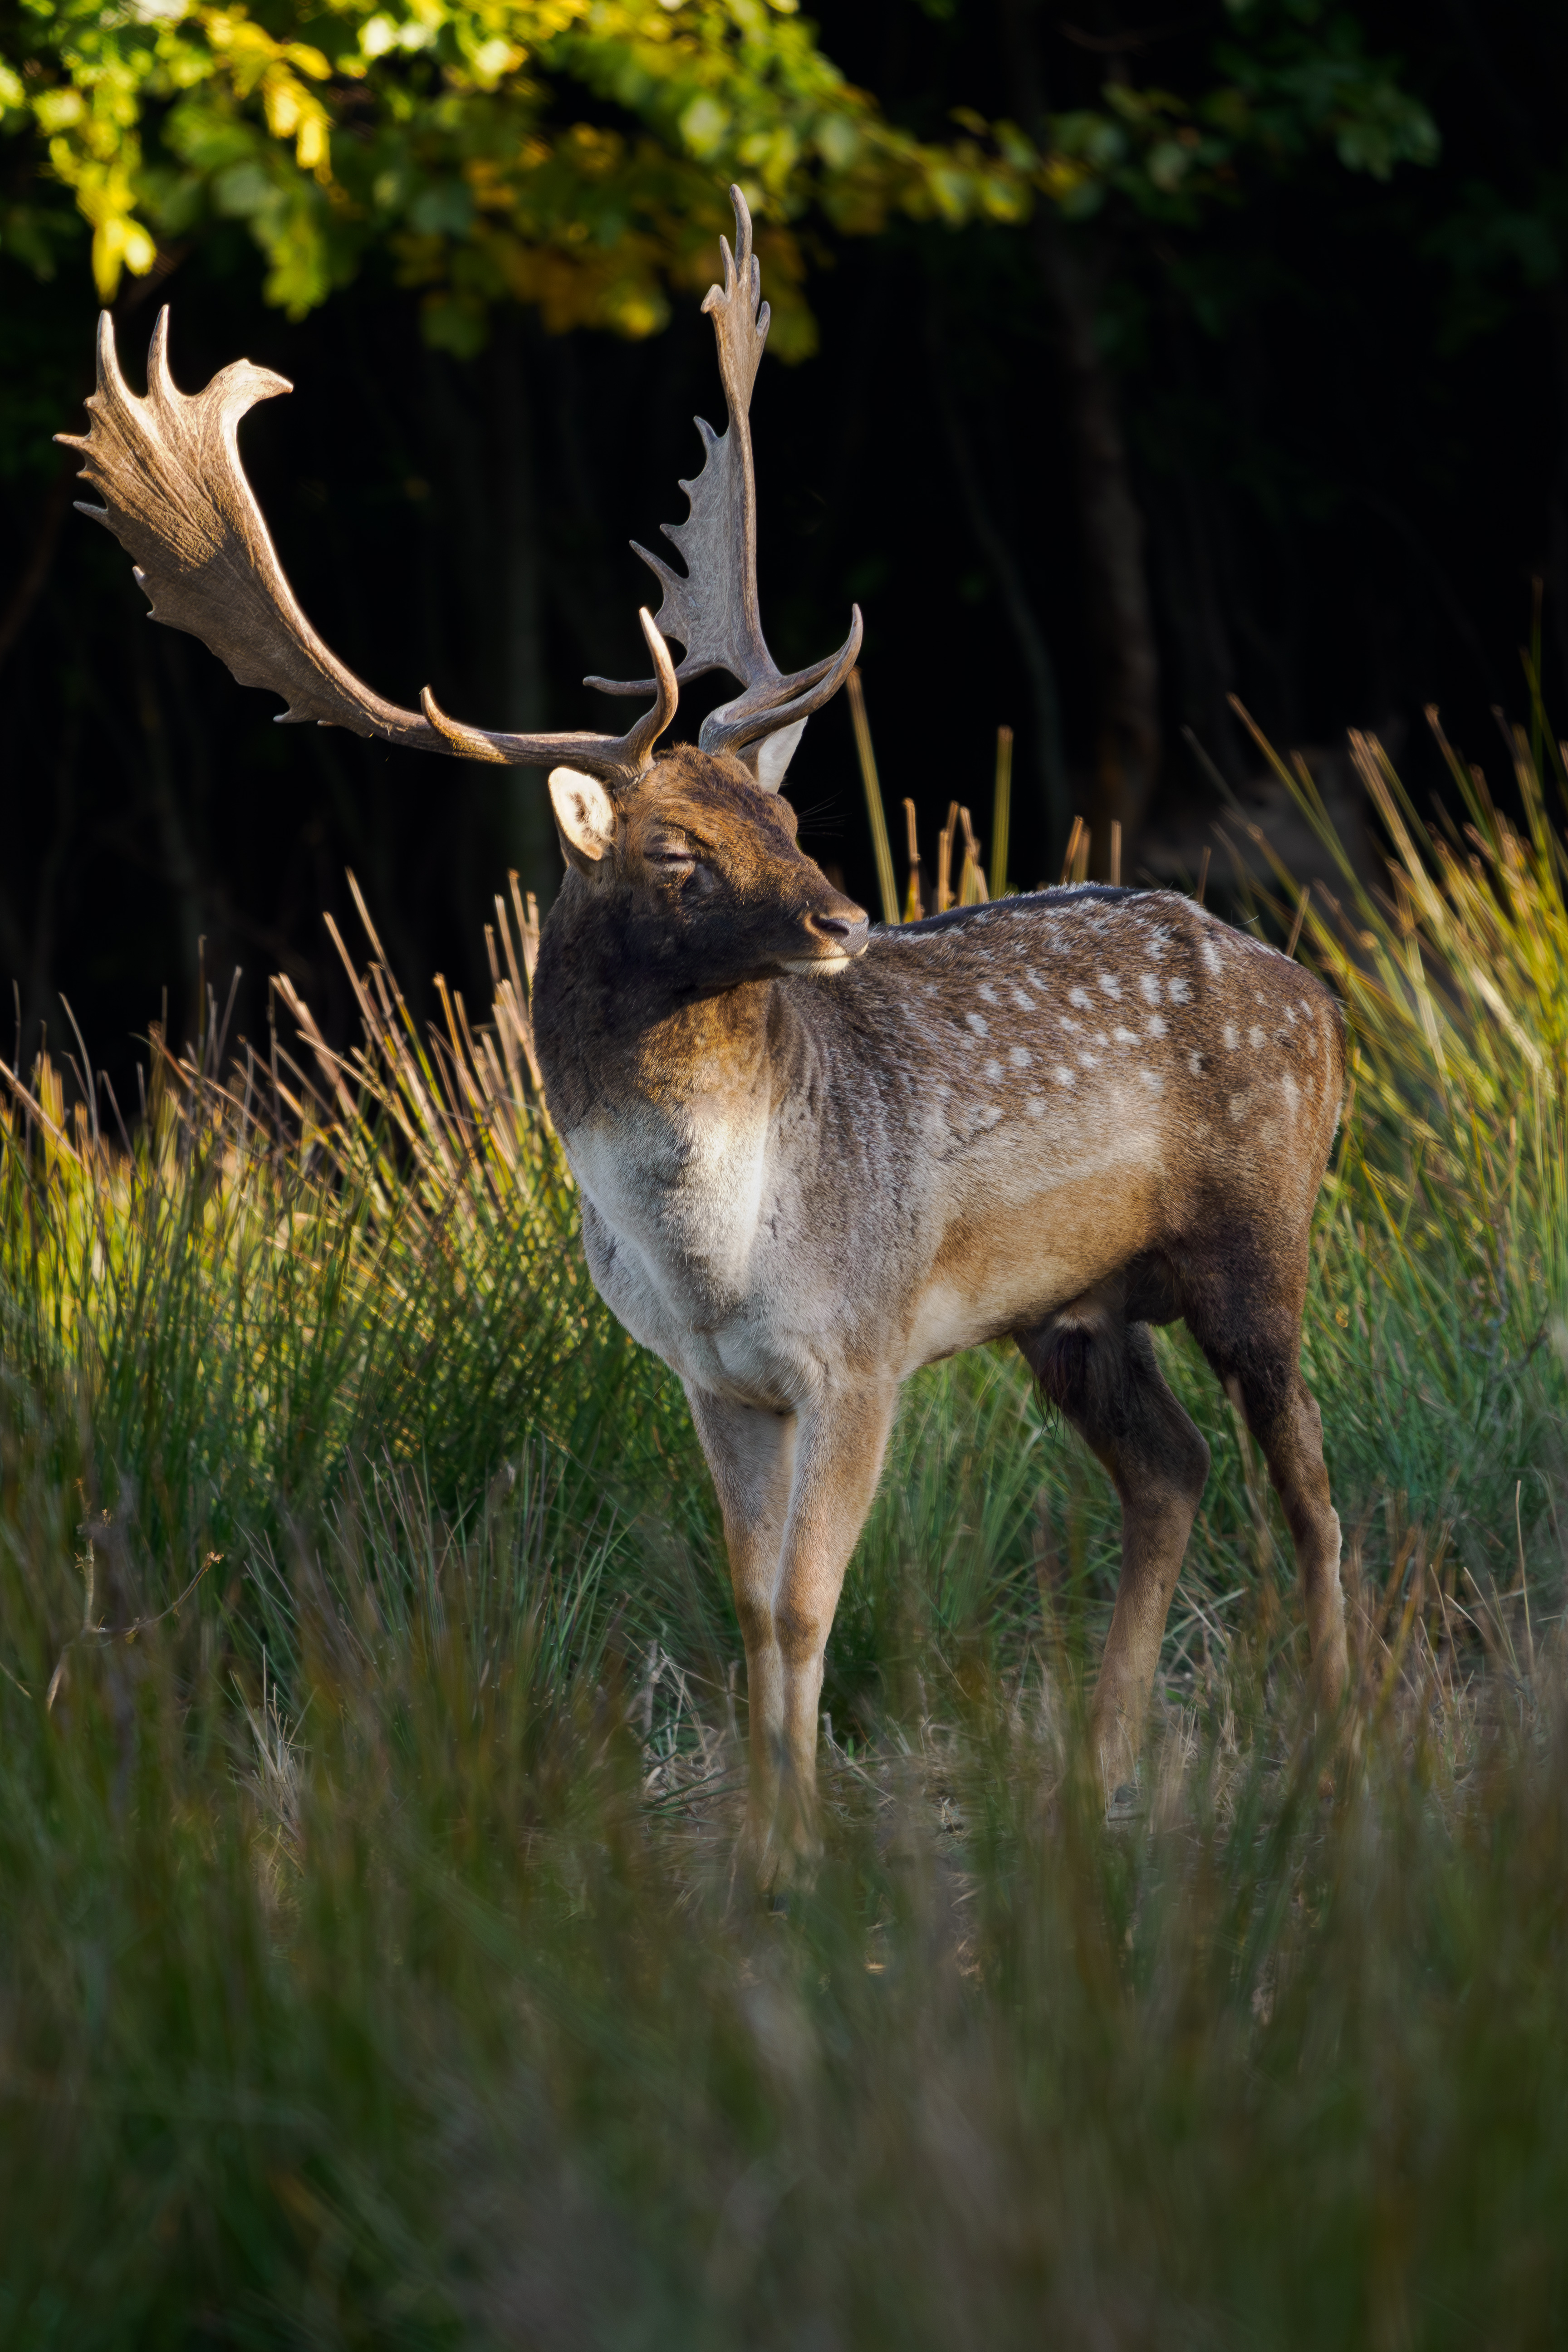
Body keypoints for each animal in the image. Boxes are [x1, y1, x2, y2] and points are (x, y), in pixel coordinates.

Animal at [55, 188, 1344, 1872]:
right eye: (677, 854)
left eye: (788, 815)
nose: (843, 919)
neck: (714, 1245)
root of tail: (1319, 994)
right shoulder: (711, 1376)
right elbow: (748, 1604)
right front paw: (767, 1841)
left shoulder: (859, 1342)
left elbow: (807, 1601)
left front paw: (799, 1848)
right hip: (1069, 1309)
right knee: (1175, 1473)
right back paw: (1097, 1774)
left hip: (1261, 1228)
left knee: (1305, 1484)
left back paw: (1341, 1756)